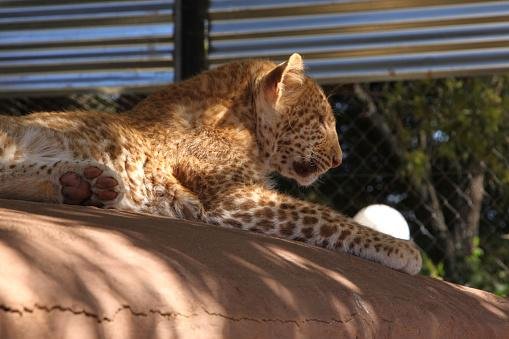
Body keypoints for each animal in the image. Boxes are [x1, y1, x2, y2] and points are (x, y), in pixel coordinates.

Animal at [0, 53, 420, 276]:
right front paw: (401, 248)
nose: (339, 159)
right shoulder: (234, 198)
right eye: (321, 122)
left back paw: (82, 183)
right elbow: (326, 217)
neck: (240, 121)